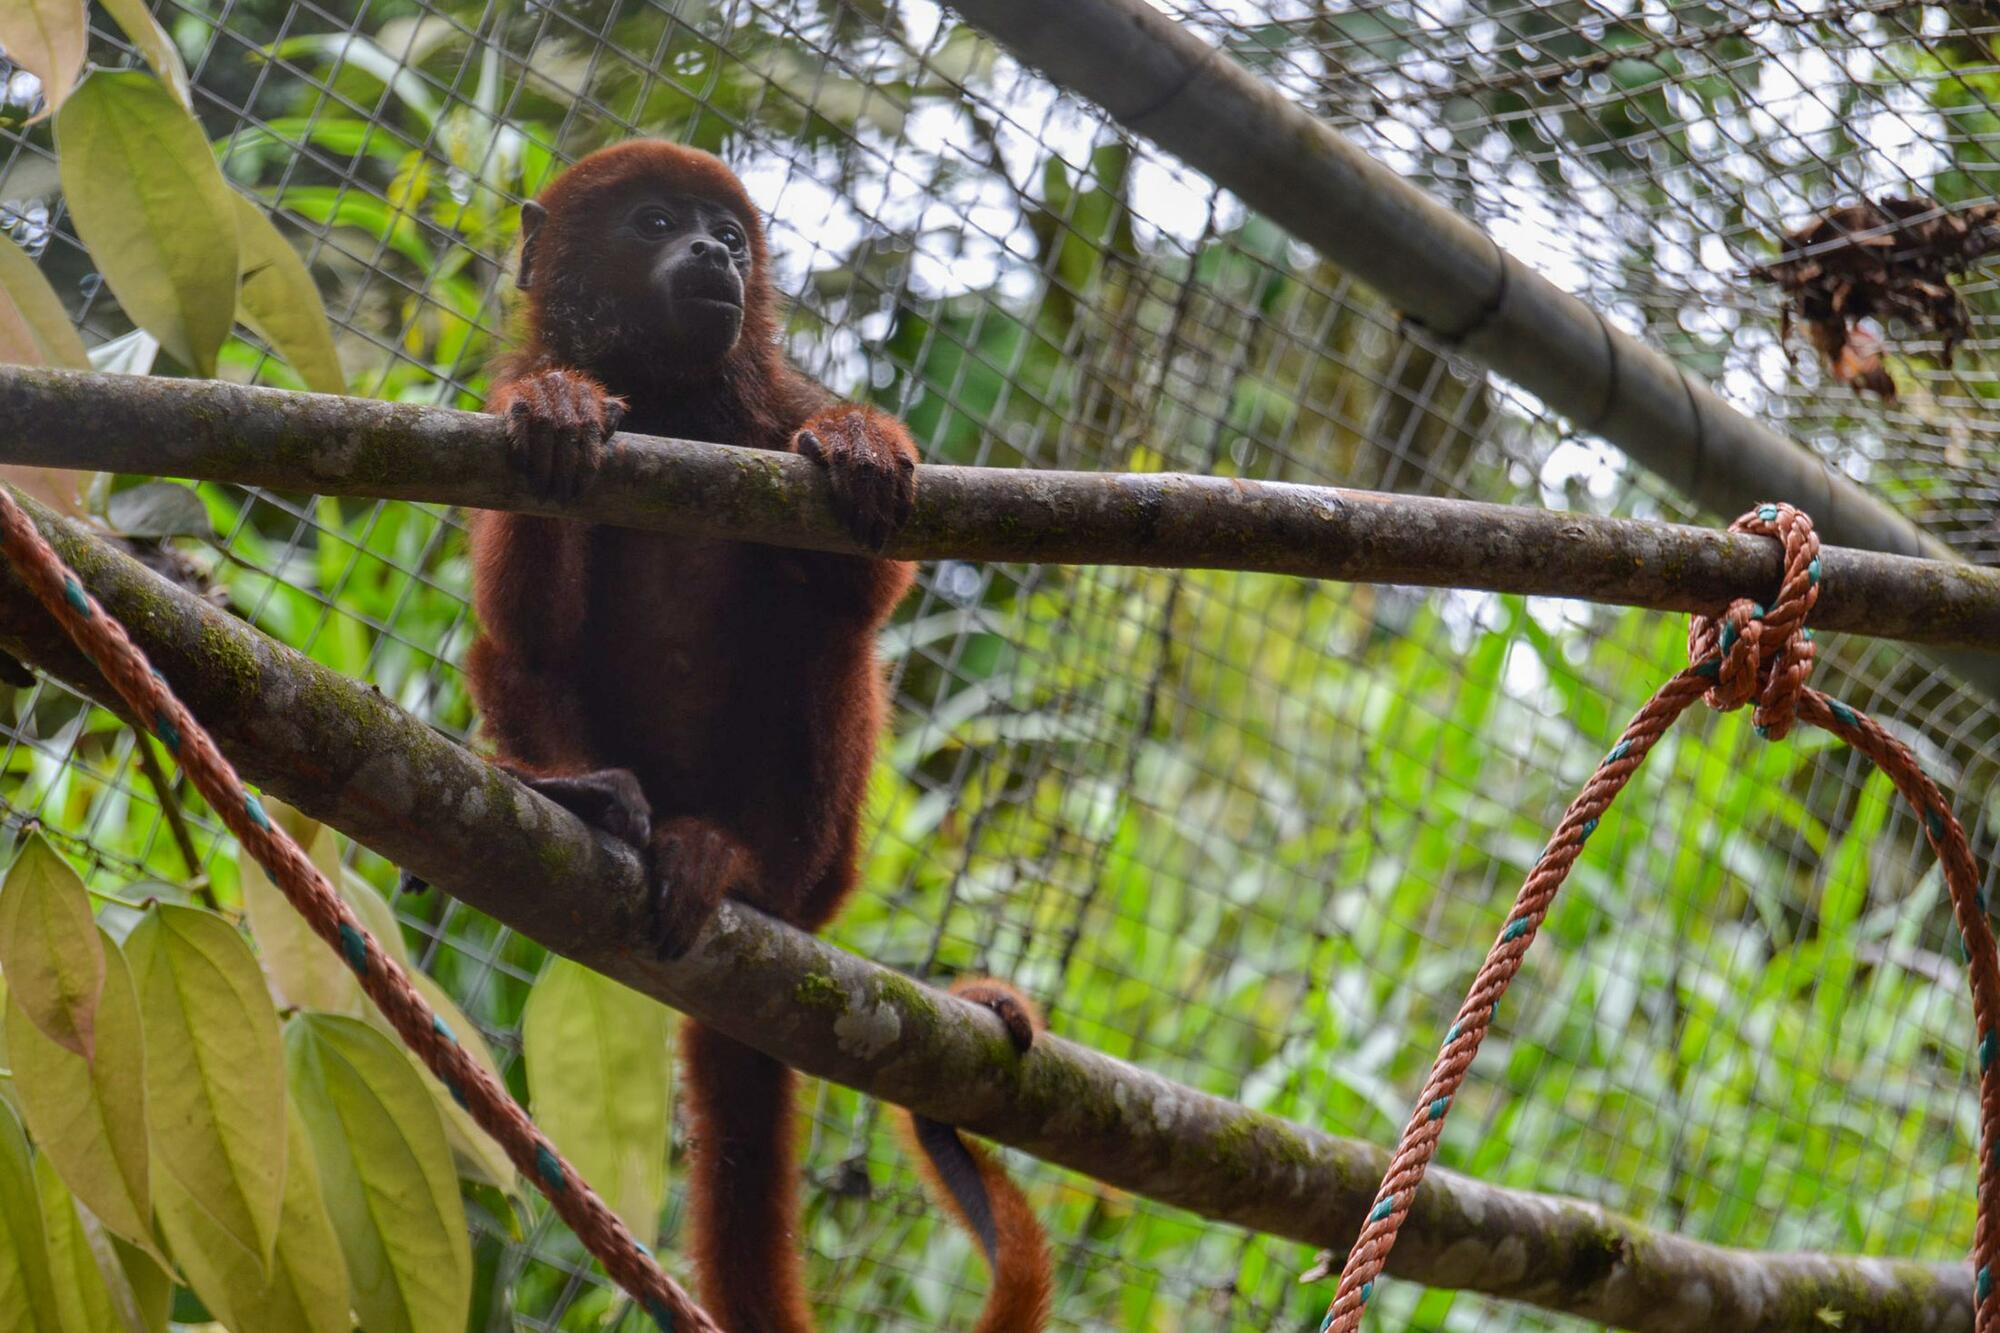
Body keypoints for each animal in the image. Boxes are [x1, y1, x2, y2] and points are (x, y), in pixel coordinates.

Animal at [466, 140, 1056, 1320]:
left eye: (731, 237)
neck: (675, 398)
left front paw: (858, 440)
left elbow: (864, 588)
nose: (712, 253)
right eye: (654, 223)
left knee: (830, 651)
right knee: (510, 659)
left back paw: (744, 871)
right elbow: (525, 617)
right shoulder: (498, 402)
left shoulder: (773, 402)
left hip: (827, 864)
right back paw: (588, 796)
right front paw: (563, 407)